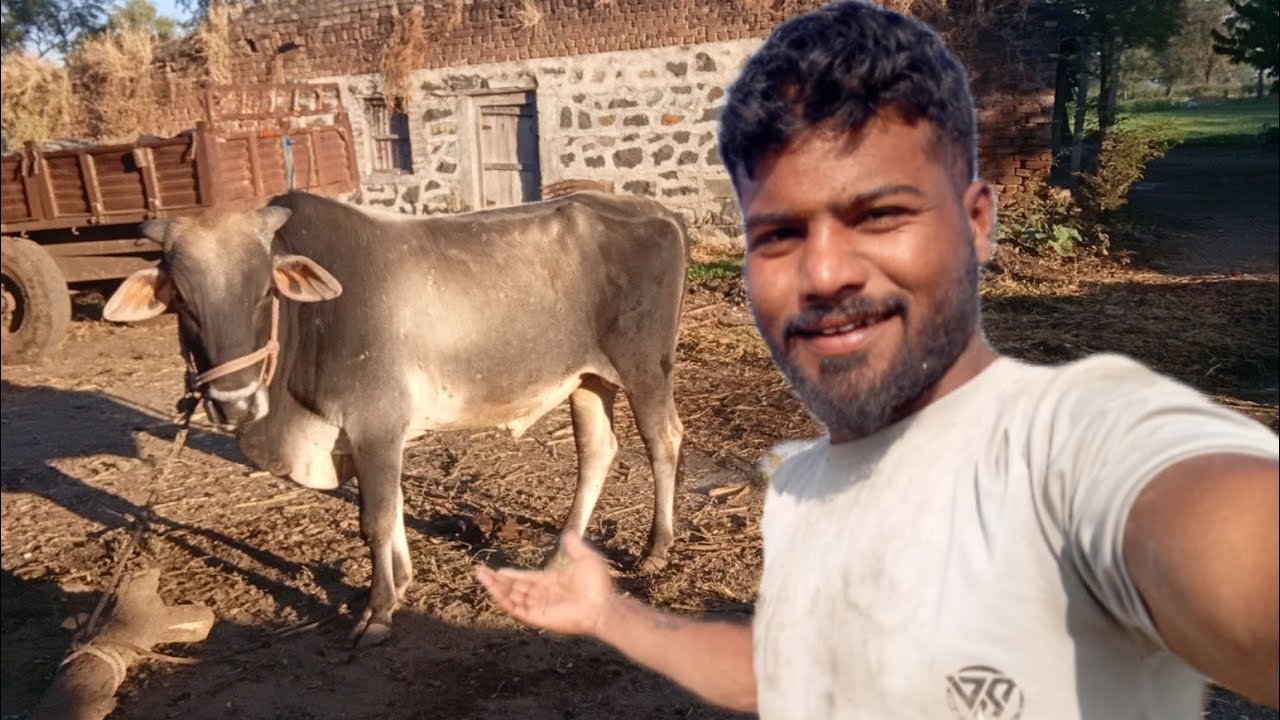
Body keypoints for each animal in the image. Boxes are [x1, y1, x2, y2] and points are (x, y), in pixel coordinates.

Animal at [102, 190, 689, 646]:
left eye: (264, 291)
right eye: (183, 301)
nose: (234, 401)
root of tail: (653, 209)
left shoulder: (374, 427)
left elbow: (376, 519)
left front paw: (378, 610)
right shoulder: (370, 437)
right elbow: (395, 508)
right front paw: (401, 581)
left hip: (644, 369)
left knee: (663, 441)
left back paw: (655, 550)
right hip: (586, 380)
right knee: (597, 453)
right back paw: (560, 555)